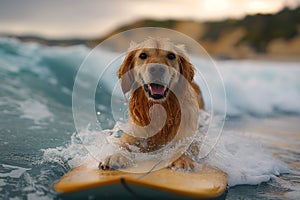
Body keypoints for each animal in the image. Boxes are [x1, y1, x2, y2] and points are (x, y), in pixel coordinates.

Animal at [99, 37, 205, 170]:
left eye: (171, 55)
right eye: (143, 55)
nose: (157, 69)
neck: (159, 110)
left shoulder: (189, 135)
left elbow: (186, 145)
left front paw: (182, 159)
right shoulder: (134, 133)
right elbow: (124, 144)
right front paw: (115, 156)